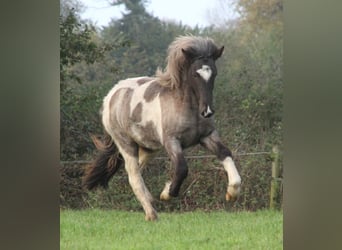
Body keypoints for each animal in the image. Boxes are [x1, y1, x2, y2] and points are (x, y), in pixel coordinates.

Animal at [83, 35, 240, 221]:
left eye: (214, 73)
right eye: (195, 74)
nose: (207, 111)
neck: (187, 106)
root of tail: (110, 96)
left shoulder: (208, 136)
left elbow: (225, 153)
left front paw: (232, 192)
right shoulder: (171, 141)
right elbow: (181, 168)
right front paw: (166, 193)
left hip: (148, 147)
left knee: (137, 171)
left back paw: (150, 202)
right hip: (126, 144)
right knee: (134, 176)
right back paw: (151, 214)